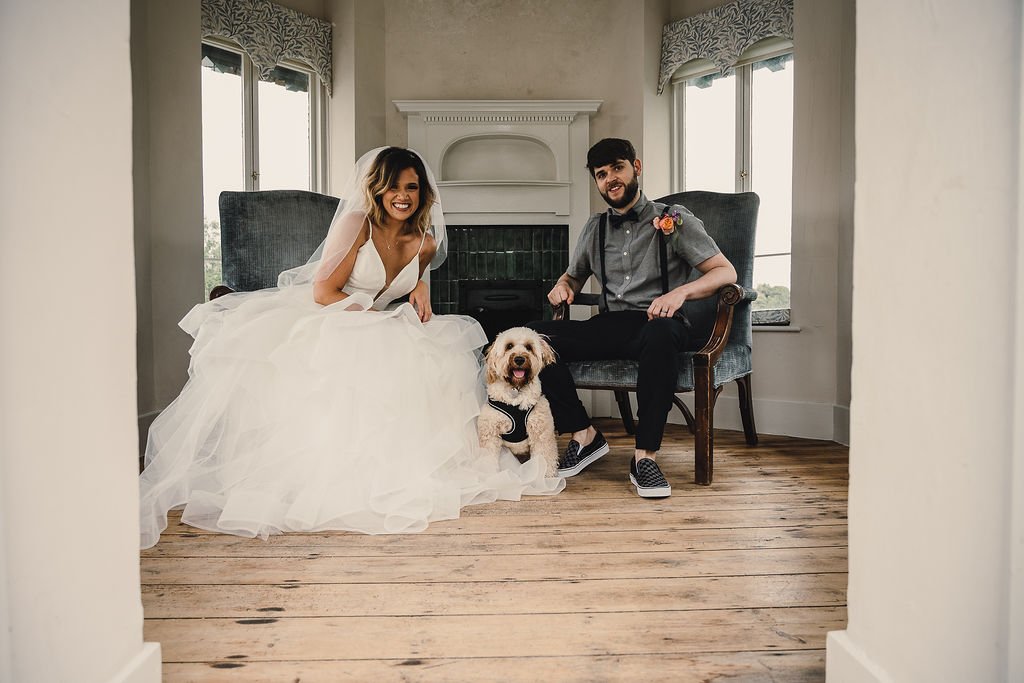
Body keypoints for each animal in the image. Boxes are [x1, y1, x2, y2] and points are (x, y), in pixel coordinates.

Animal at [477, 325, 561, 475]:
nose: (519, 359)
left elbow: (544, 458)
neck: (516, 389)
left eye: (529, 347)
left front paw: (543, 477)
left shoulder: (541, 433)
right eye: (509, 346)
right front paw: (489, 476)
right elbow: (488, 458)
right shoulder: (490, 433)